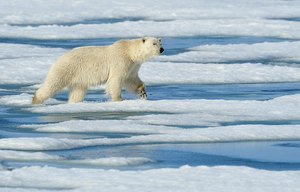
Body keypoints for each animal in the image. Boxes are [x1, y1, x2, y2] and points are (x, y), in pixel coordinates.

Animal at [31, 37, 164, 104]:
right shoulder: (120, 61)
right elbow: (115, 80)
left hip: (78, 78)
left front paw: (142, 93)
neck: (130, 52)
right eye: (154, 43)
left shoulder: (133, 66)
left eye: (160, 42)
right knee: (52, 84)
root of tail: (59, 58)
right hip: (66, 69)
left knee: (78, 92)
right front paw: (119, 99)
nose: (162, 49)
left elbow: (131, 80)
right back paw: (36, 99)